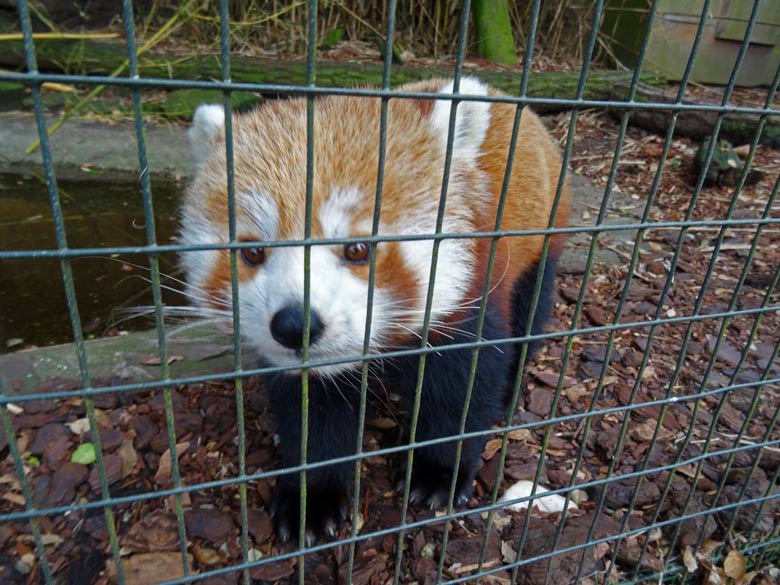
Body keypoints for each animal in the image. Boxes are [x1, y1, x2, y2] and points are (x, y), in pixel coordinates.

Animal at [180, 76, 568, 544]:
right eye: (252, 252)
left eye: (357, 249)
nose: (294, 325)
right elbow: (313, 415)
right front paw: (312, 497)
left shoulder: (470, 294)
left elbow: (465, 388)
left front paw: (438, 472)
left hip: (543, 236)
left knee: (531, 309)